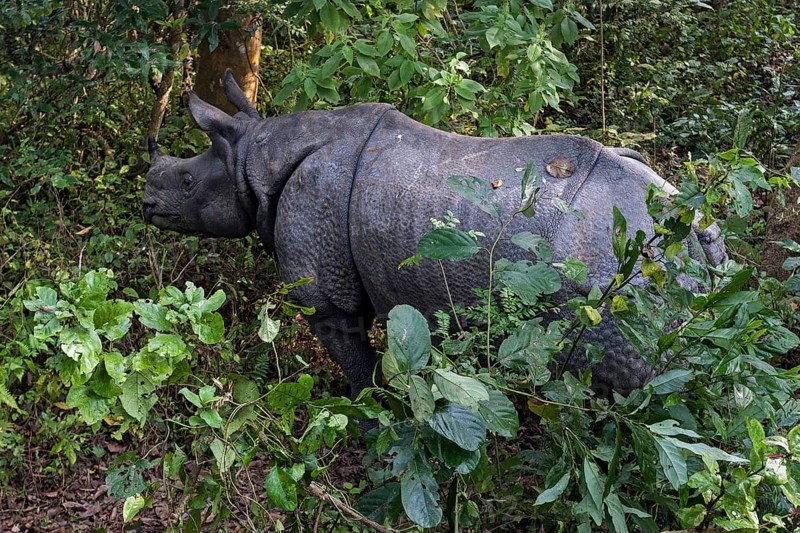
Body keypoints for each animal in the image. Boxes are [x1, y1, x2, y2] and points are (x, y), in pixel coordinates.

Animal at [143, 71, 726, 398]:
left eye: (188, 183)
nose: (147, 202)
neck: (252, 158)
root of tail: (688, 219)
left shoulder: (326, 284)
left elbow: (355, 360)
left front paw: (365, 416)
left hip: (619, 264)